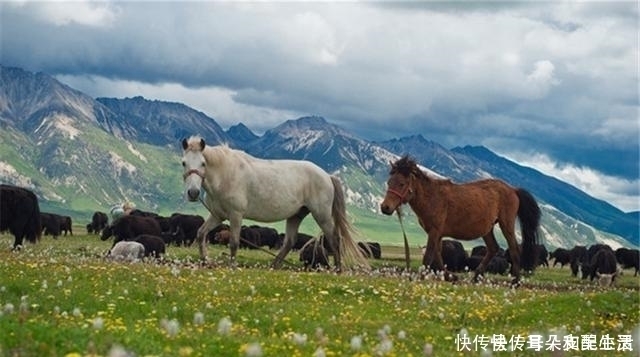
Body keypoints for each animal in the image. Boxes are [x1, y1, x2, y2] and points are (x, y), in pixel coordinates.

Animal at [182, 135, 368, 268]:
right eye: (184, 163)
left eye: (203, 163)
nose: (193, 193)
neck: (225, 174)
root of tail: (327, 176)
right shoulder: (218, 215)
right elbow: (201, 234)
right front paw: (205, 260)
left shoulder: (236, 215)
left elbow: (234, 243)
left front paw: (232, 266)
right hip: (296, 215)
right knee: (290, 242)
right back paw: (274, 265)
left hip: (322, 215)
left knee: (334, 239)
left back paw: (338, 269)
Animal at [380, 156, 540, 284]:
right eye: (389, 182)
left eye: (401, 183)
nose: (385, 207)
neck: (432, 197)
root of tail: (513, 189)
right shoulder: (436, 233)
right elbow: (437, 255)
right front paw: (450, 276)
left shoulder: (435, 231)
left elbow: (429, 256)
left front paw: (420, 278)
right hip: (486, 229)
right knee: (493, 248)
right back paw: (475, 277)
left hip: (506, 224)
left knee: (513, 249)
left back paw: (515, 282)